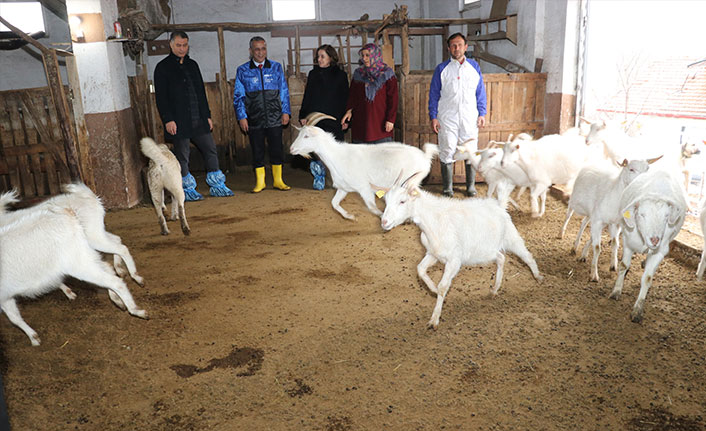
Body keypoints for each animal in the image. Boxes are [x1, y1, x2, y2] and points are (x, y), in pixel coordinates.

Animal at [0, 182, 144, 290]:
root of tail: (89, 196)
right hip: (95, 232)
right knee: (116, 239)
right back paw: (120, 269)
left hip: (93, 236)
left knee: (120, 248)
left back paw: (136, 277)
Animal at [0, 199, 147, 348]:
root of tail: (67, 212)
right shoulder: (6, 295)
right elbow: (15, 317)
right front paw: (34, 338)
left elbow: (14, 318)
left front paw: (34, 339)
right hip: (86, 252)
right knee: (110, 264)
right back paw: (119, 295)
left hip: (80, 261)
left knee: (116, 275)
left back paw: (136, 305)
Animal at [288, 112, 438, 219]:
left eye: (306, 136)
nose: (291, 149)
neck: (337, 156)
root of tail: (424, 157)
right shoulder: (344, 188)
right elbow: (334, 203)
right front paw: (350, 216)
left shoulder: (364, 188)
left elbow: (372, 207)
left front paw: (383, 217)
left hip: (410, 180)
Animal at [376, 170, 540, 330]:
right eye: (386, 201)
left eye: (402, 201)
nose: (384, 222)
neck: (434, 221)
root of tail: (499, 205)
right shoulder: (433, 254)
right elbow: (420, 269)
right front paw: (433, 289)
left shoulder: (454, 260)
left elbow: (443, 286)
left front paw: (434, 320)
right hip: (485, 251)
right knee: (501, 258)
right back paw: (494, 290)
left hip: (511, 239)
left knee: (527, 256)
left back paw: (538, 278)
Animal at [608, 170, 684, 322]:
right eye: (642, 215)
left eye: (666, 216)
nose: (655, 239)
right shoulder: (628, 241)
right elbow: (623, 266)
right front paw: (616, 291)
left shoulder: (661, 250)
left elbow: (647, 278)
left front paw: (638, 310)